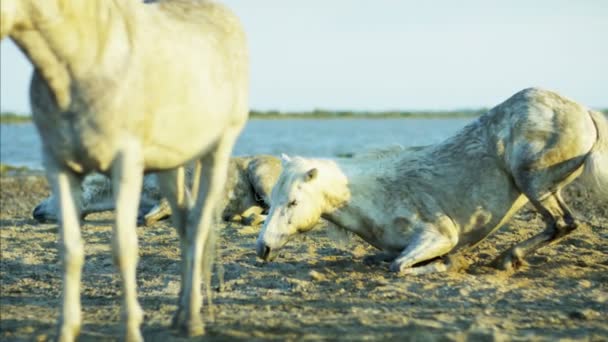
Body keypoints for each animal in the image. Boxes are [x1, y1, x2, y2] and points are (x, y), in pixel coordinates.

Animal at [0, 0, 247, 340]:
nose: (36, 211)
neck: (84, 60)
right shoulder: (58, 166)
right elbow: (69, 250)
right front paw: (65, 330)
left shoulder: (126, 164)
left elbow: (124, 248)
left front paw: (131, 330)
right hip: (169, 166)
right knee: (184, 225)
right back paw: (180, 314)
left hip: (217, 151)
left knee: (198, 226)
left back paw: (193, 320)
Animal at [256, 89, 608, 276]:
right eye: (270, 203)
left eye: (293, 202)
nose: (262, 247)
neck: (371, 196)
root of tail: (584, 110)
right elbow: (381, 258)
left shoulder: (439, 234)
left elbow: (399, 265)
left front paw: (443, 264)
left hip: (533, 182)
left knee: (563, 223)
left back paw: (508, 258)